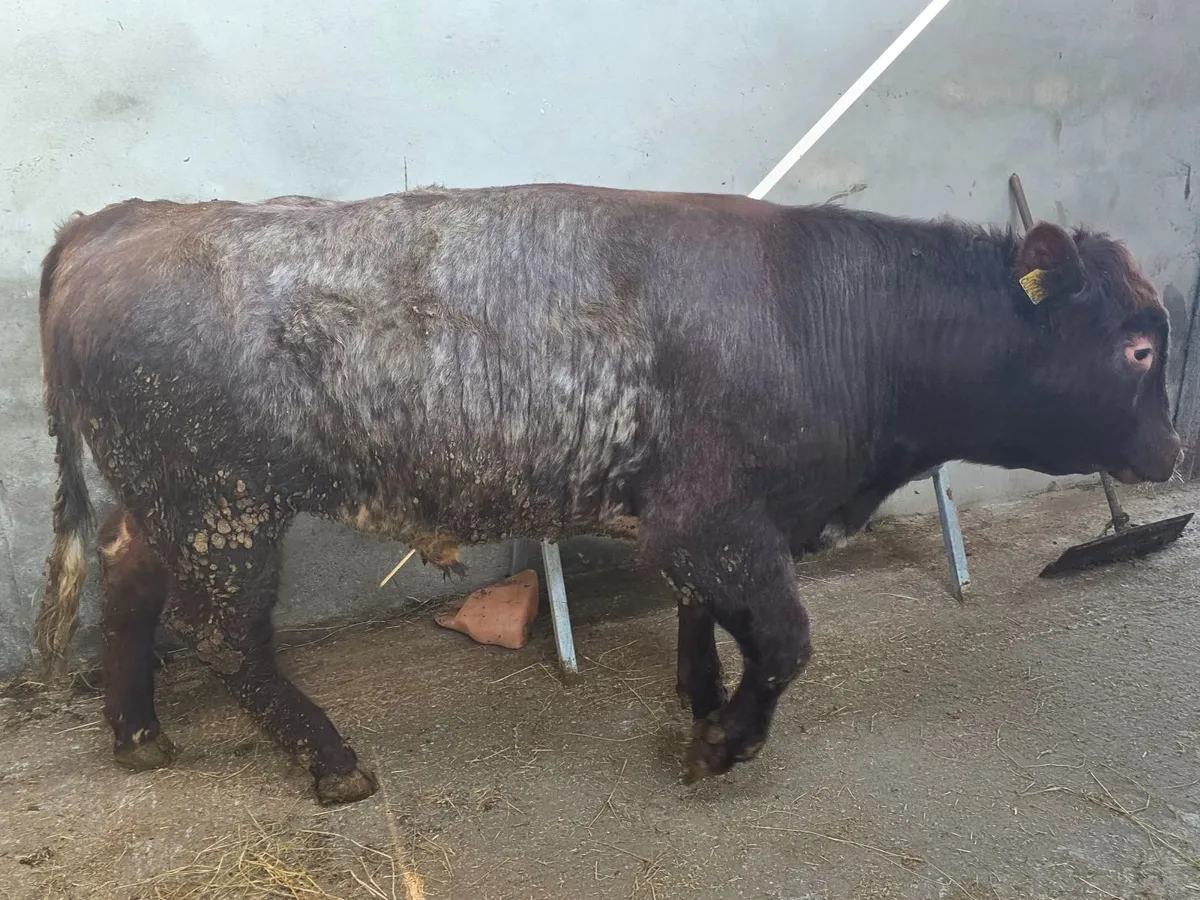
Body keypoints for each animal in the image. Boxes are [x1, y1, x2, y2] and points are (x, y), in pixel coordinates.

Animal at [34, 183, 1181, 805]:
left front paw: (700, 695)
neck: (828, 313)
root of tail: (115, 222)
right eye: (1135, 348)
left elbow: (704, 618)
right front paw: (722, 742)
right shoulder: (718, 522)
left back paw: (138, 734)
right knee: (226, 637)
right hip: (224, 509)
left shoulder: (694, 525)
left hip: (169, 505)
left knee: (129, 586)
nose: (1174, 453)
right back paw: (331, 761)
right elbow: (785, 640)